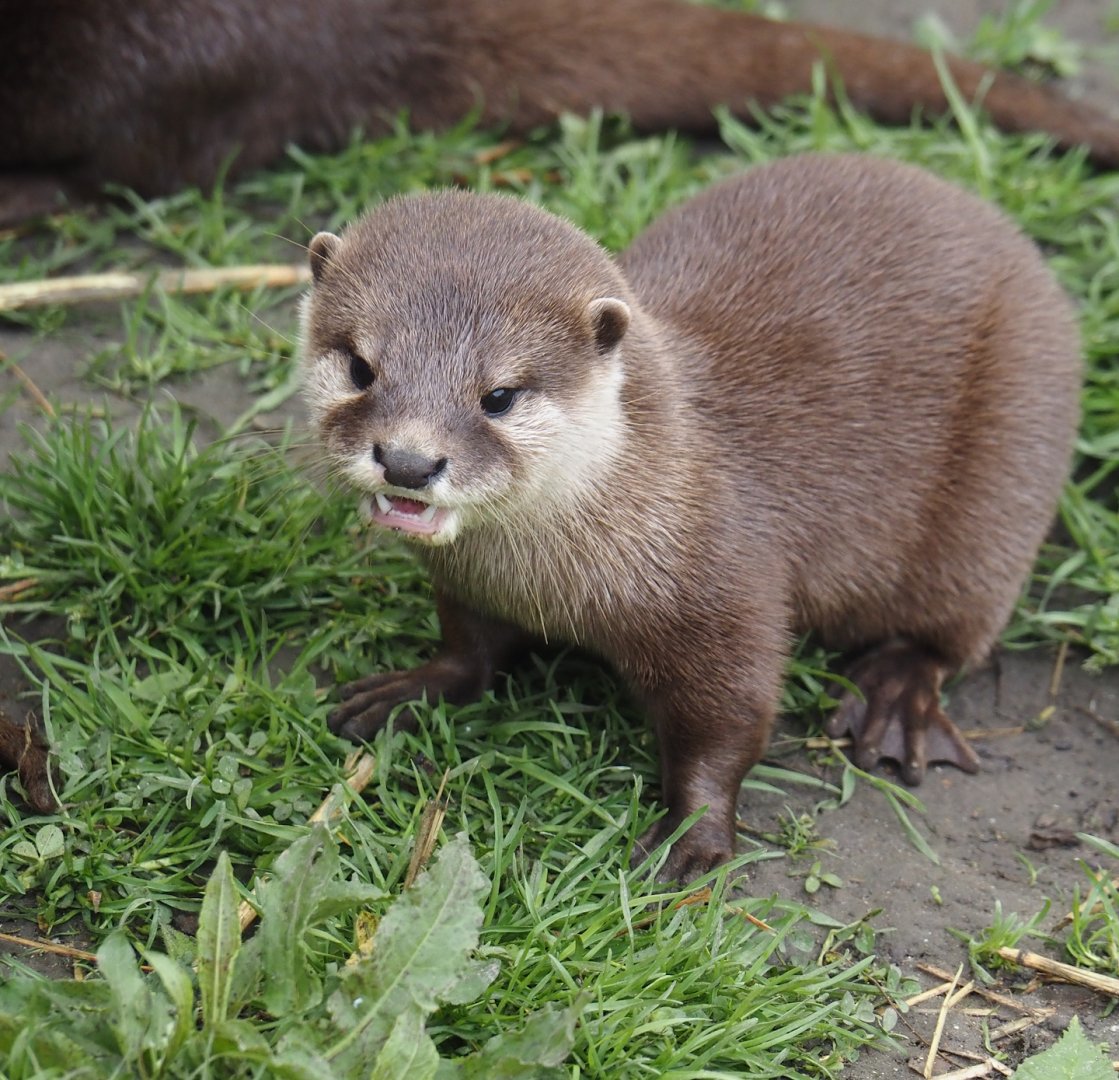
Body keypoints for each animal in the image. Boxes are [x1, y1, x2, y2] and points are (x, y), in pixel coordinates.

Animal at [300, 153, 1080, 880]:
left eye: (498, 396)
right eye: (360, 367)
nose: (407, 461)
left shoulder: (728, 588)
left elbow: (729, 723)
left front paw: (690, 836)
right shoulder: (469, 583)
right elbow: (469, 646)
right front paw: (408, 688)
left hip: (1000, 488)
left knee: (951, 630)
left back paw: (894, 697)